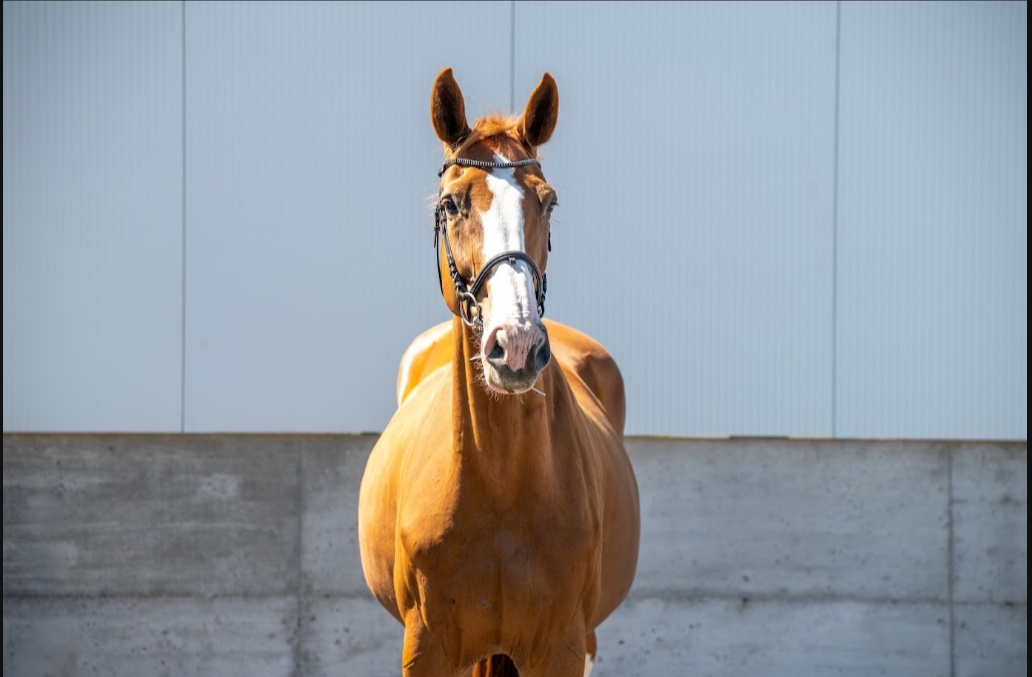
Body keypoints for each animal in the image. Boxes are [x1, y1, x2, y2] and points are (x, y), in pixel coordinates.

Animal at [358, 67, 640, 677]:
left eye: (548, 203)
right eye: (451, 204)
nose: (516, 346)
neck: (503, 482)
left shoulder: (562, 649)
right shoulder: (428, 649)